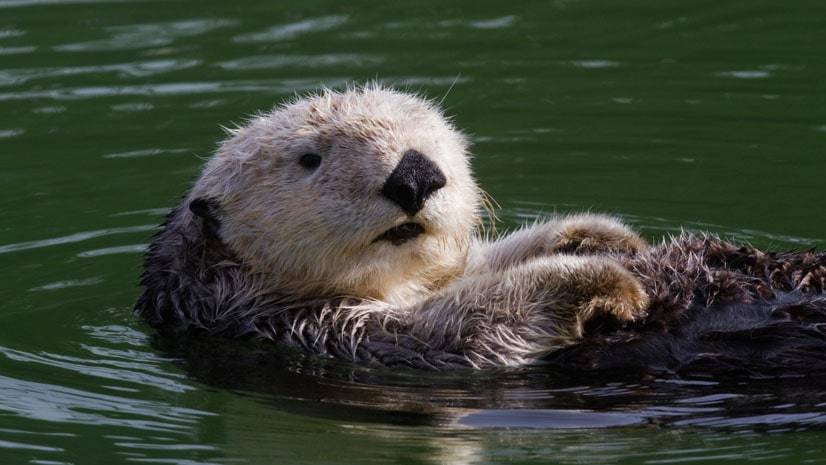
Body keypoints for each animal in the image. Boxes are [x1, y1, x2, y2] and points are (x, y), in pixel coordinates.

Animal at [135, 84, 824, 374]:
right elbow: (477, 325)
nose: (415, 173)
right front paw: (611, 280)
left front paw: (601, 237)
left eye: (429, 135)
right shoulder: (328, 333)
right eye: (309, 159)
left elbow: (488, 264)